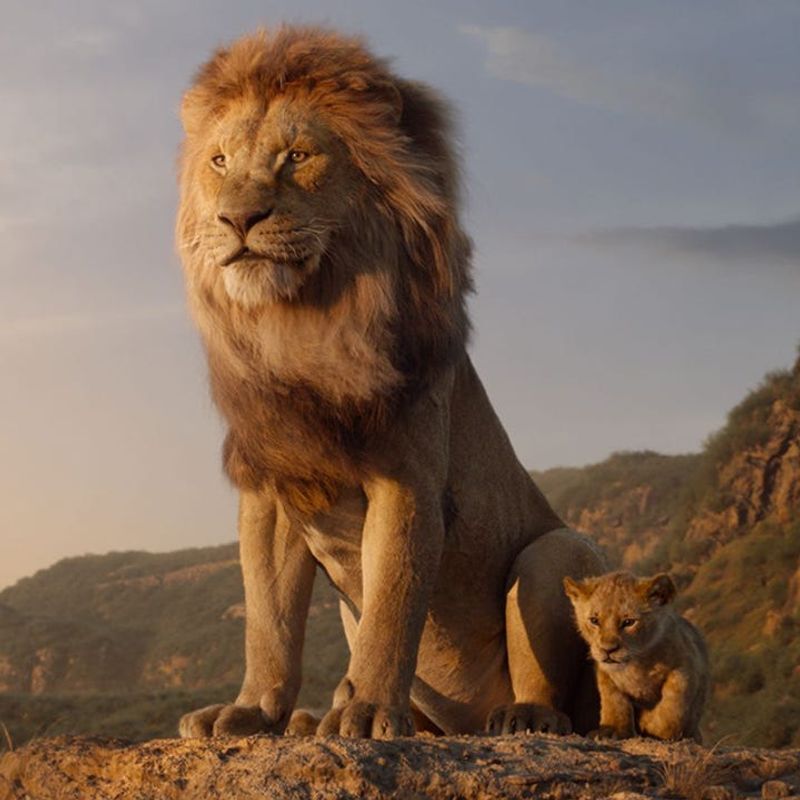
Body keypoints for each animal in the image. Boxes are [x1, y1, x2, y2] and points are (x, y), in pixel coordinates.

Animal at [175, 25, 606, 739]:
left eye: (297, 156)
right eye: (218, 162)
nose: (238, 219)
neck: (302, 326)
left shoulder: (407, 478)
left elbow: (393, 605)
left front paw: (369, 710)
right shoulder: (272, 489)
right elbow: (269, 621)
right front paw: (252, 710)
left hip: (557, 552)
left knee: (558, 694)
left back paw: (521, 717)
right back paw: (310, 720)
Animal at [563, 571, 710, 743]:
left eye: (628, 622)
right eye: (594, 620)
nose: (608, 650)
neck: (636, 664)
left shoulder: (685, 667)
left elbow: (673, 705)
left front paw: (651, 724)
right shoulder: (605, 674)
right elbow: (614, 702)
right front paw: (612, 730)